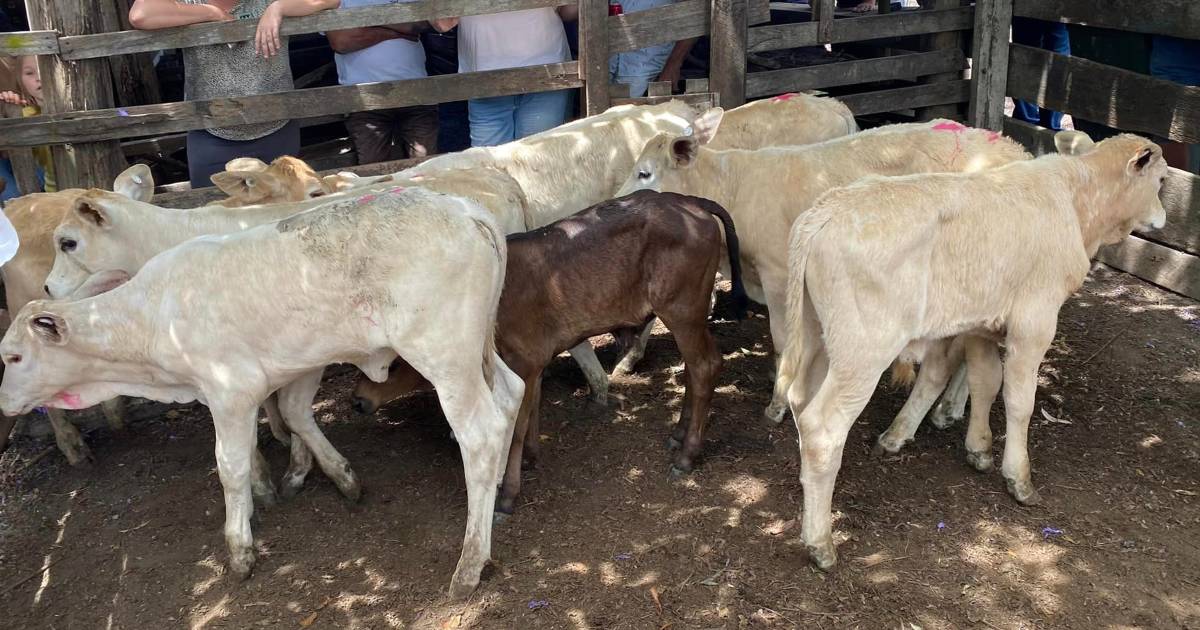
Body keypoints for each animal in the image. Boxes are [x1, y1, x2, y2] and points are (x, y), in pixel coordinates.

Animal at [350, 192, 739, 516]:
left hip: (681, 309)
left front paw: (508, 494)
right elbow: (532, 410)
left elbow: (517, 426)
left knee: (706, 365)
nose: (357, 400)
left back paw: (687, 454)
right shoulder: (532, 363)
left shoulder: (524, 360)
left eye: (393, 364)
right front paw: (531, 458)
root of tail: (690, 202)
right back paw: (678, 433)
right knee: (694, 368)